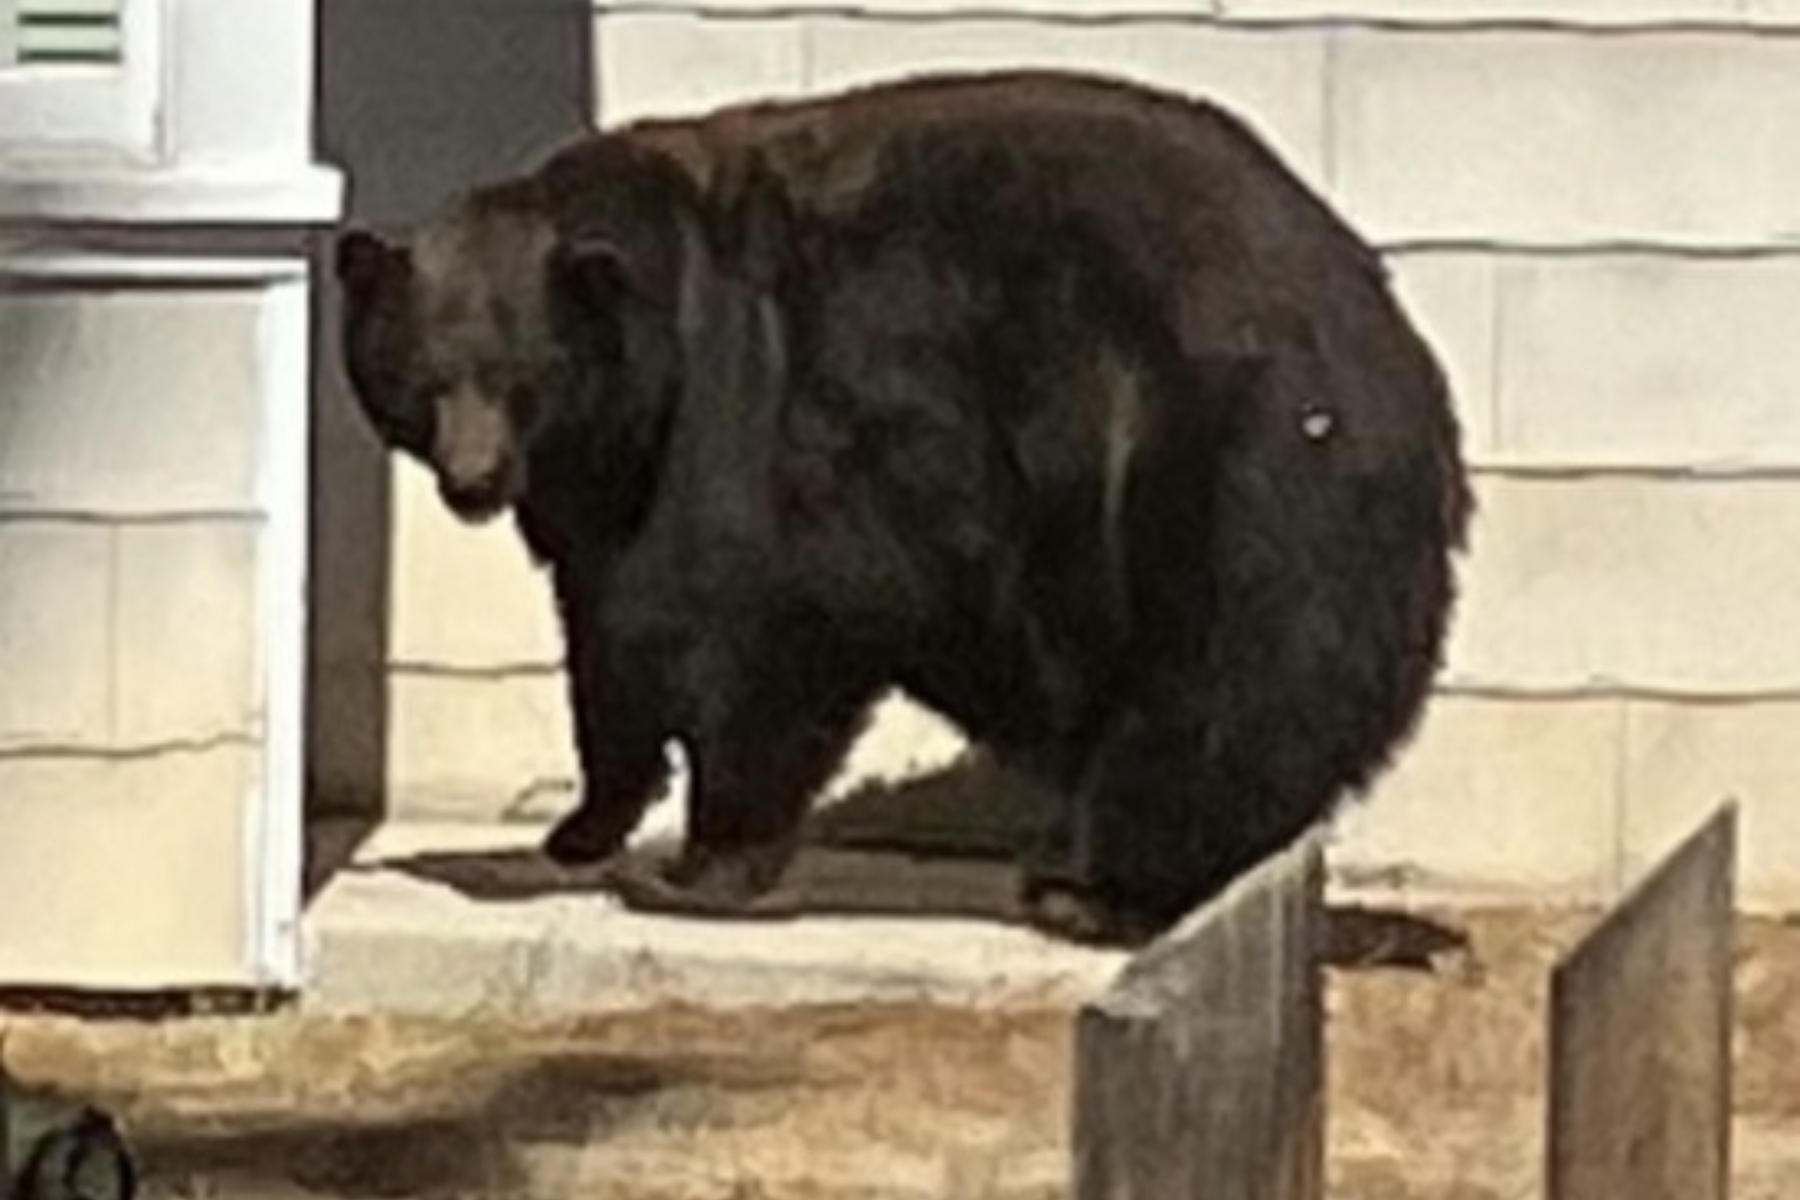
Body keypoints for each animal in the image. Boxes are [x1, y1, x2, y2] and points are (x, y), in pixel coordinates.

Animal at [333, 69, 1473, 947]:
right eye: (423, 376)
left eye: (524, 377)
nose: (474, 481)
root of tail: (1397, 352)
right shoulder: (605, 497)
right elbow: (610, 640)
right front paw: (581, 826)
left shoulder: (764, 421)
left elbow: (763, 634)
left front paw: (695, 866)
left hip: (1218, 474)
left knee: (1217, 690)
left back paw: (1094, 888)